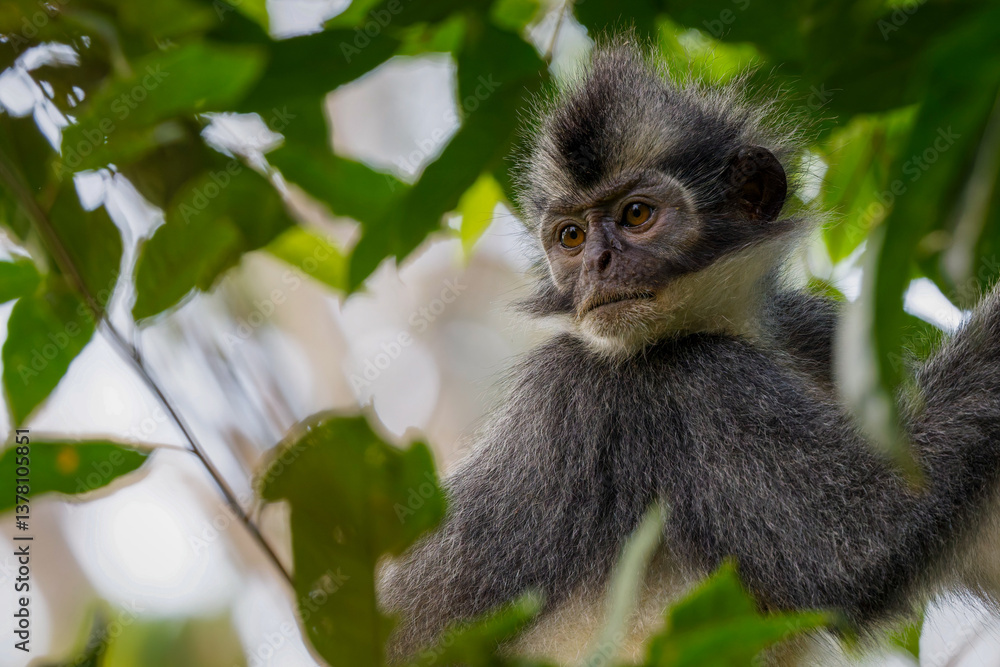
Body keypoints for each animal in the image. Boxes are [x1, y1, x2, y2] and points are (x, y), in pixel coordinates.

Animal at [378, 41, 1000, 664]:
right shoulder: (662, 386)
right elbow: (857, 546)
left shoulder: (818, 335)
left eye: (635, 214)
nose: (598, 263)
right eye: (572, 237)